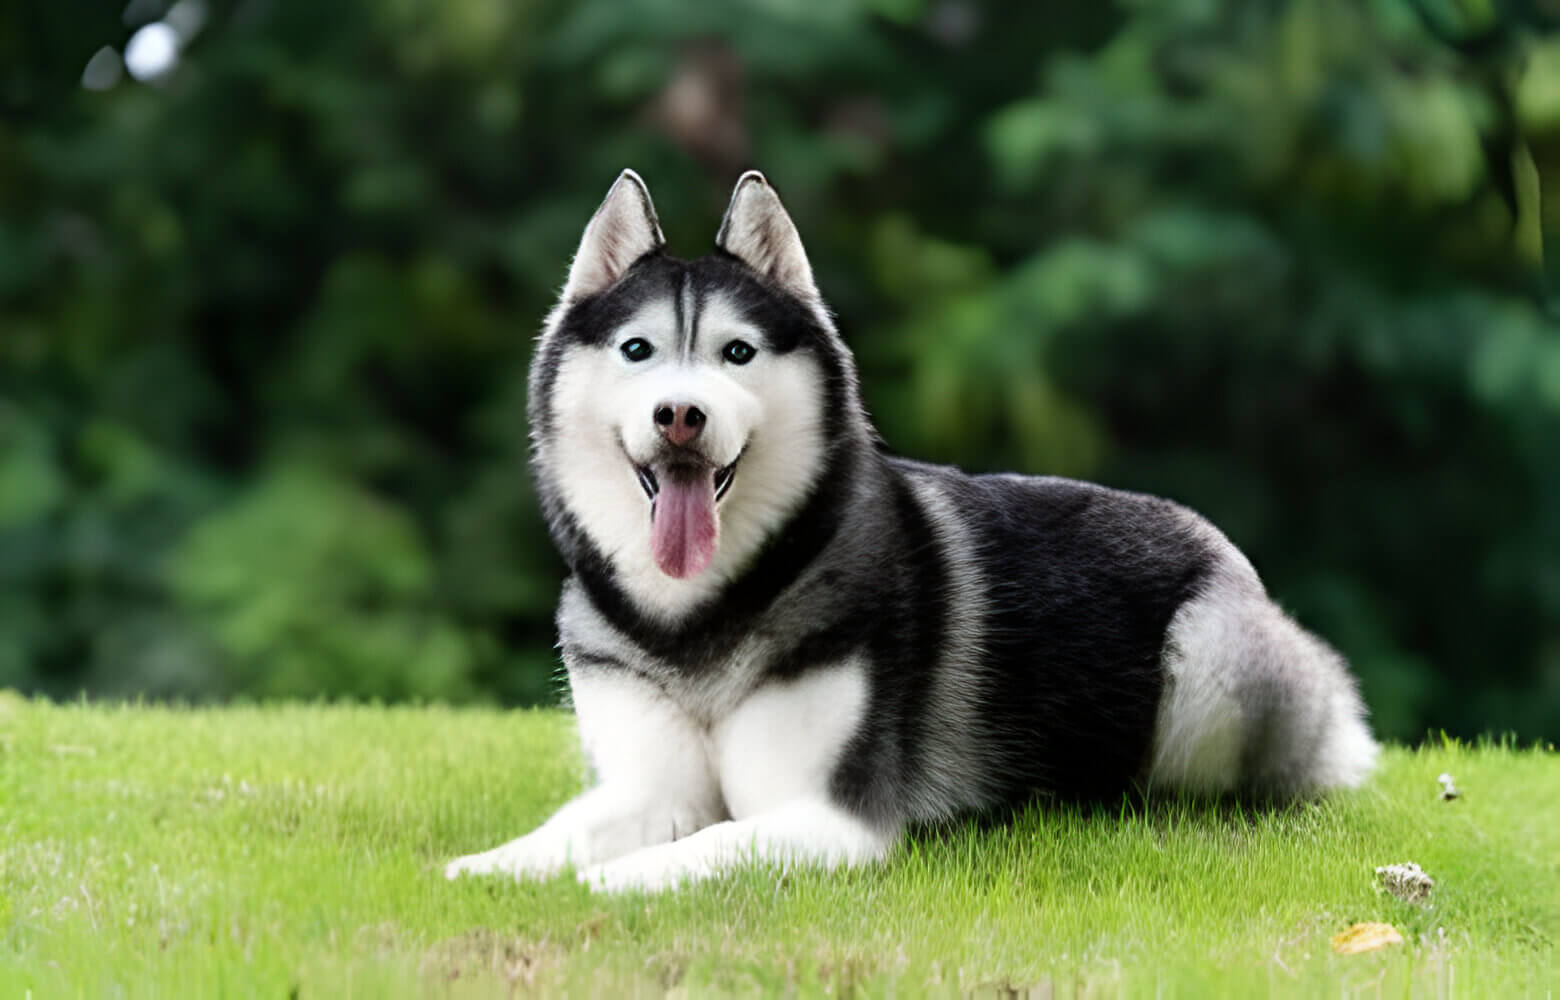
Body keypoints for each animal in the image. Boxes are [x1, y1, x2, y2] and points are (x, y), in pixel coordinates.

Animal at [443, 170, 1379, 886]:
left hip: (1212, 659)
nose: (680, 415)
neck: (695, 620)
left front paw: (613, 881)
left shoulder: (829, 816)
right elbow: (566, 832)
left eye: (736, 353)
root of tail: (1224, 548)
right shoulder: (649, 788)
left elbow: (703, 846)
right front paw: (488, 869)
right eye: (638, 351)